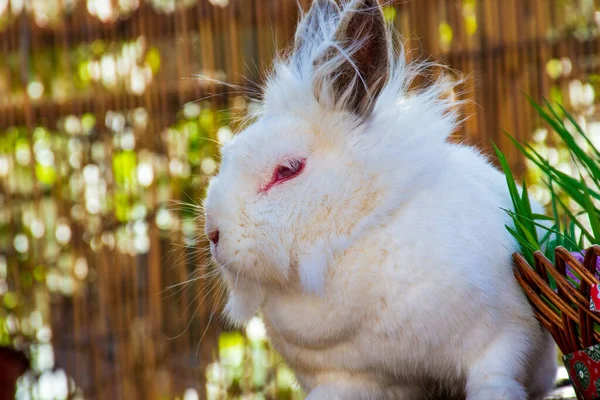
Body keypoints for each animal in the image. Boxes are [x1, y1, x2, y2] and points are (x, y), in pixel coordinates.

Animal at [203, 1, 556, 398]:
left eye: (287, 170)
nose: (213, 234)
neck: (350, 238)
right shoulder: (343, 377)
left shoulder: (502, 338)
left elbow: (495, 378)